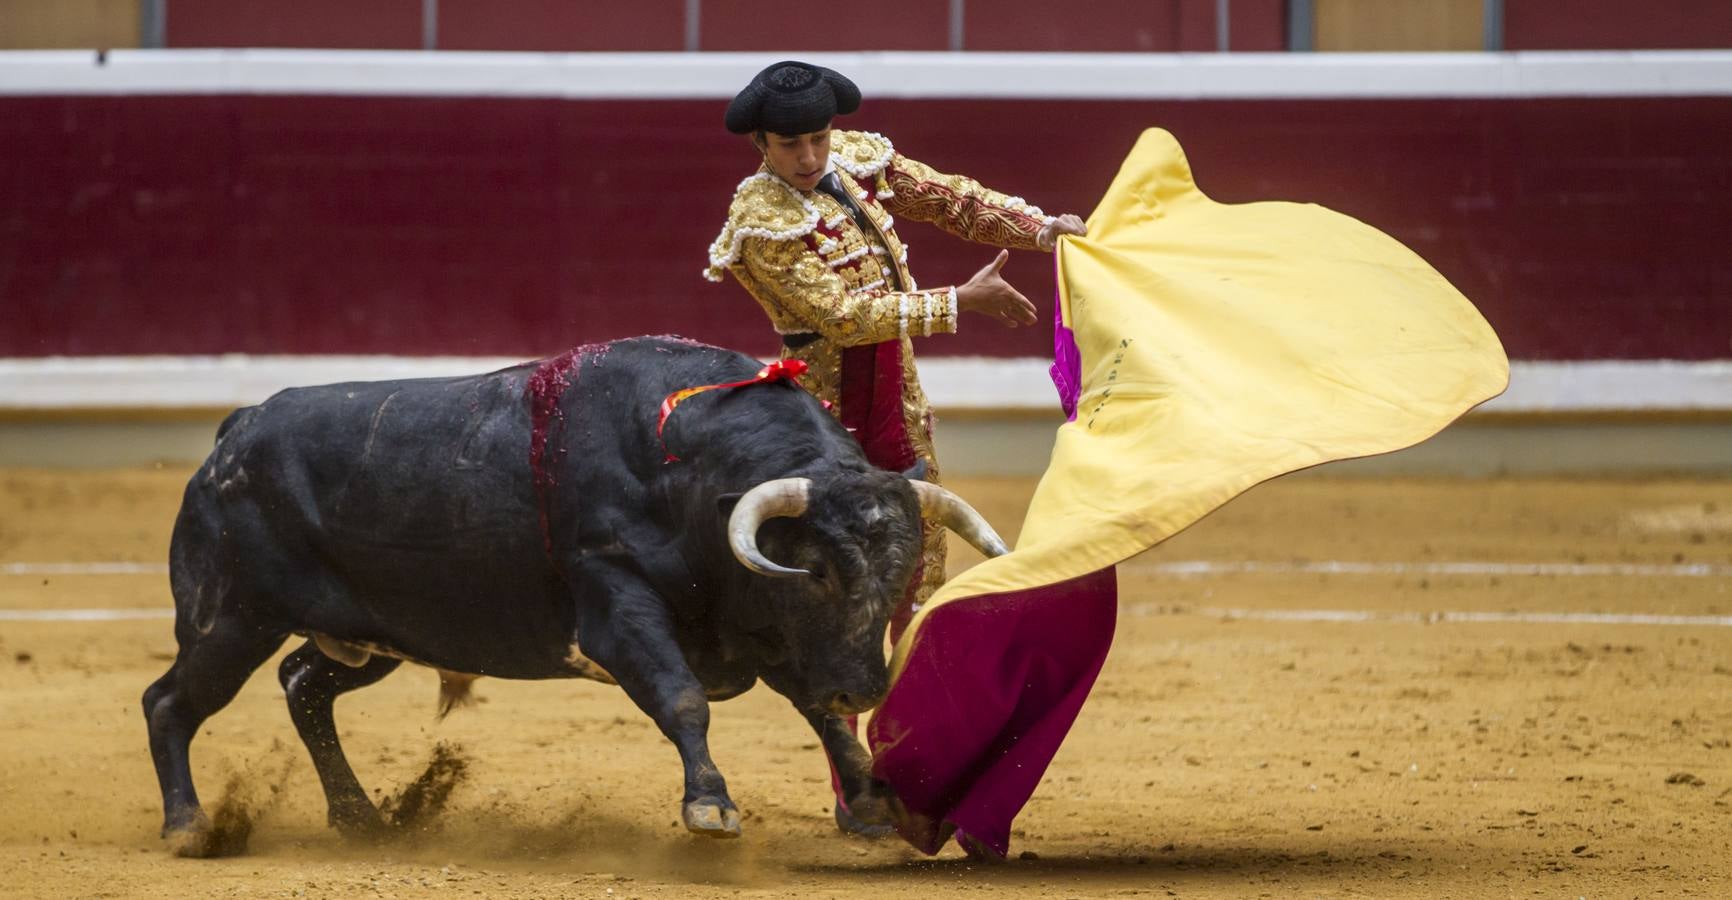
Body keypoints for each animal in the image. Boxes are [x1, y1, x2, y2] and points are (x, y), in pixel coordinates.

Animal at [148, 334, 1011, 855]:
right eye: (824, 570)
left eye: (902, 572)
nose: (867, 684)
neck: (689, 473)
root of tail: (237, 430)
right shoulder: (618, 607)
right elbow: (683, 698)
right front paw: (710, 806)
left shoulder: (776, 632)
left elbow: (822, 718)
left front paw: (872, 799)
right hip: (230, 619)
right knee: (172, 702)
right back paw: (189, 826)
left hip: (376, 632)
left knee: (303, 684)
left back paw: (361, 819)